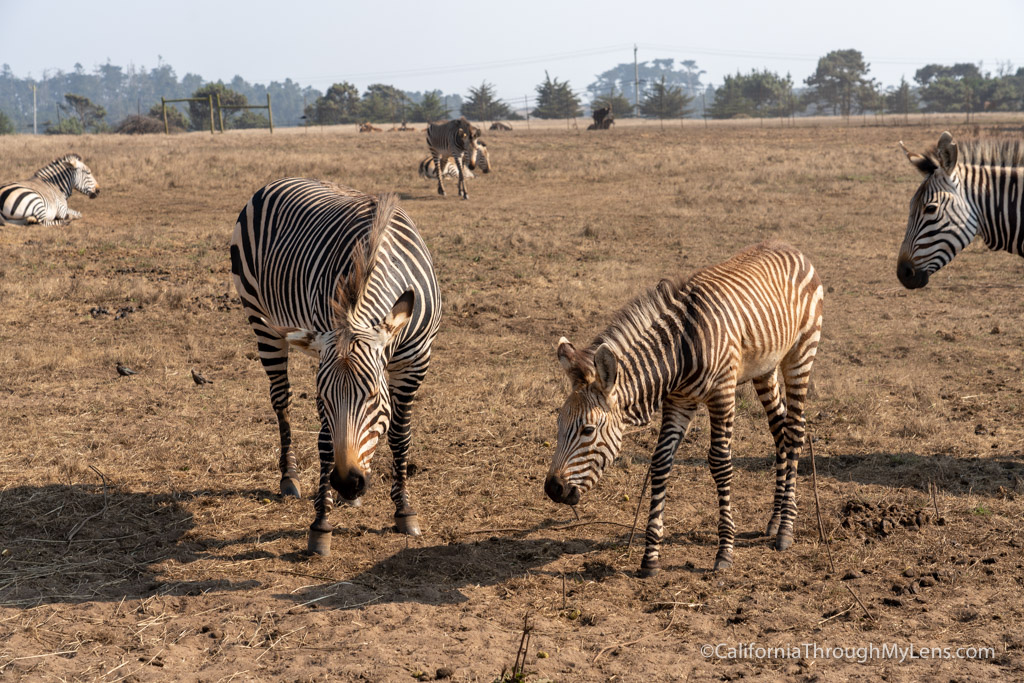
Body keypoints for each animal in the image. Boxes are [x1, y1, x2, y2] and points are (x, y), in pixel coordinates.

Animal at [230, 178, 442, 557]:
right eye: (321, 400)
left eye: (375, 397)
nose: (346, 482)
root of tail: (278, 180)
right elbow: (327, 443)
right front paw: (321, 525)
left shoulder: (416, 361)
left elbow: (400, 436)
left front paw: (404, 510)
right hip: (262, 321)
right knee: (281, 399)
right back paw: (289, 477)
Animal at [544, 242, 823, 573]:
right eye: (559, 425)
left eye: (588, 429)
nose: (552, 489)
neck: (678, 352)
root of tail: (789, 247)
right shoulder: (678, 402)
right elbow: (660, 462)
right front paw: (650, 556)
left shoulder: (722, 395)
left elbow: (720, 463)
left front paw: (724, 551)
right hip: (765, 367)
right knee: (779, 429)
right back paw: (775, 519)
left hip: (801, 354)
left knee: (794, 431)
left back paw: (785, 530)